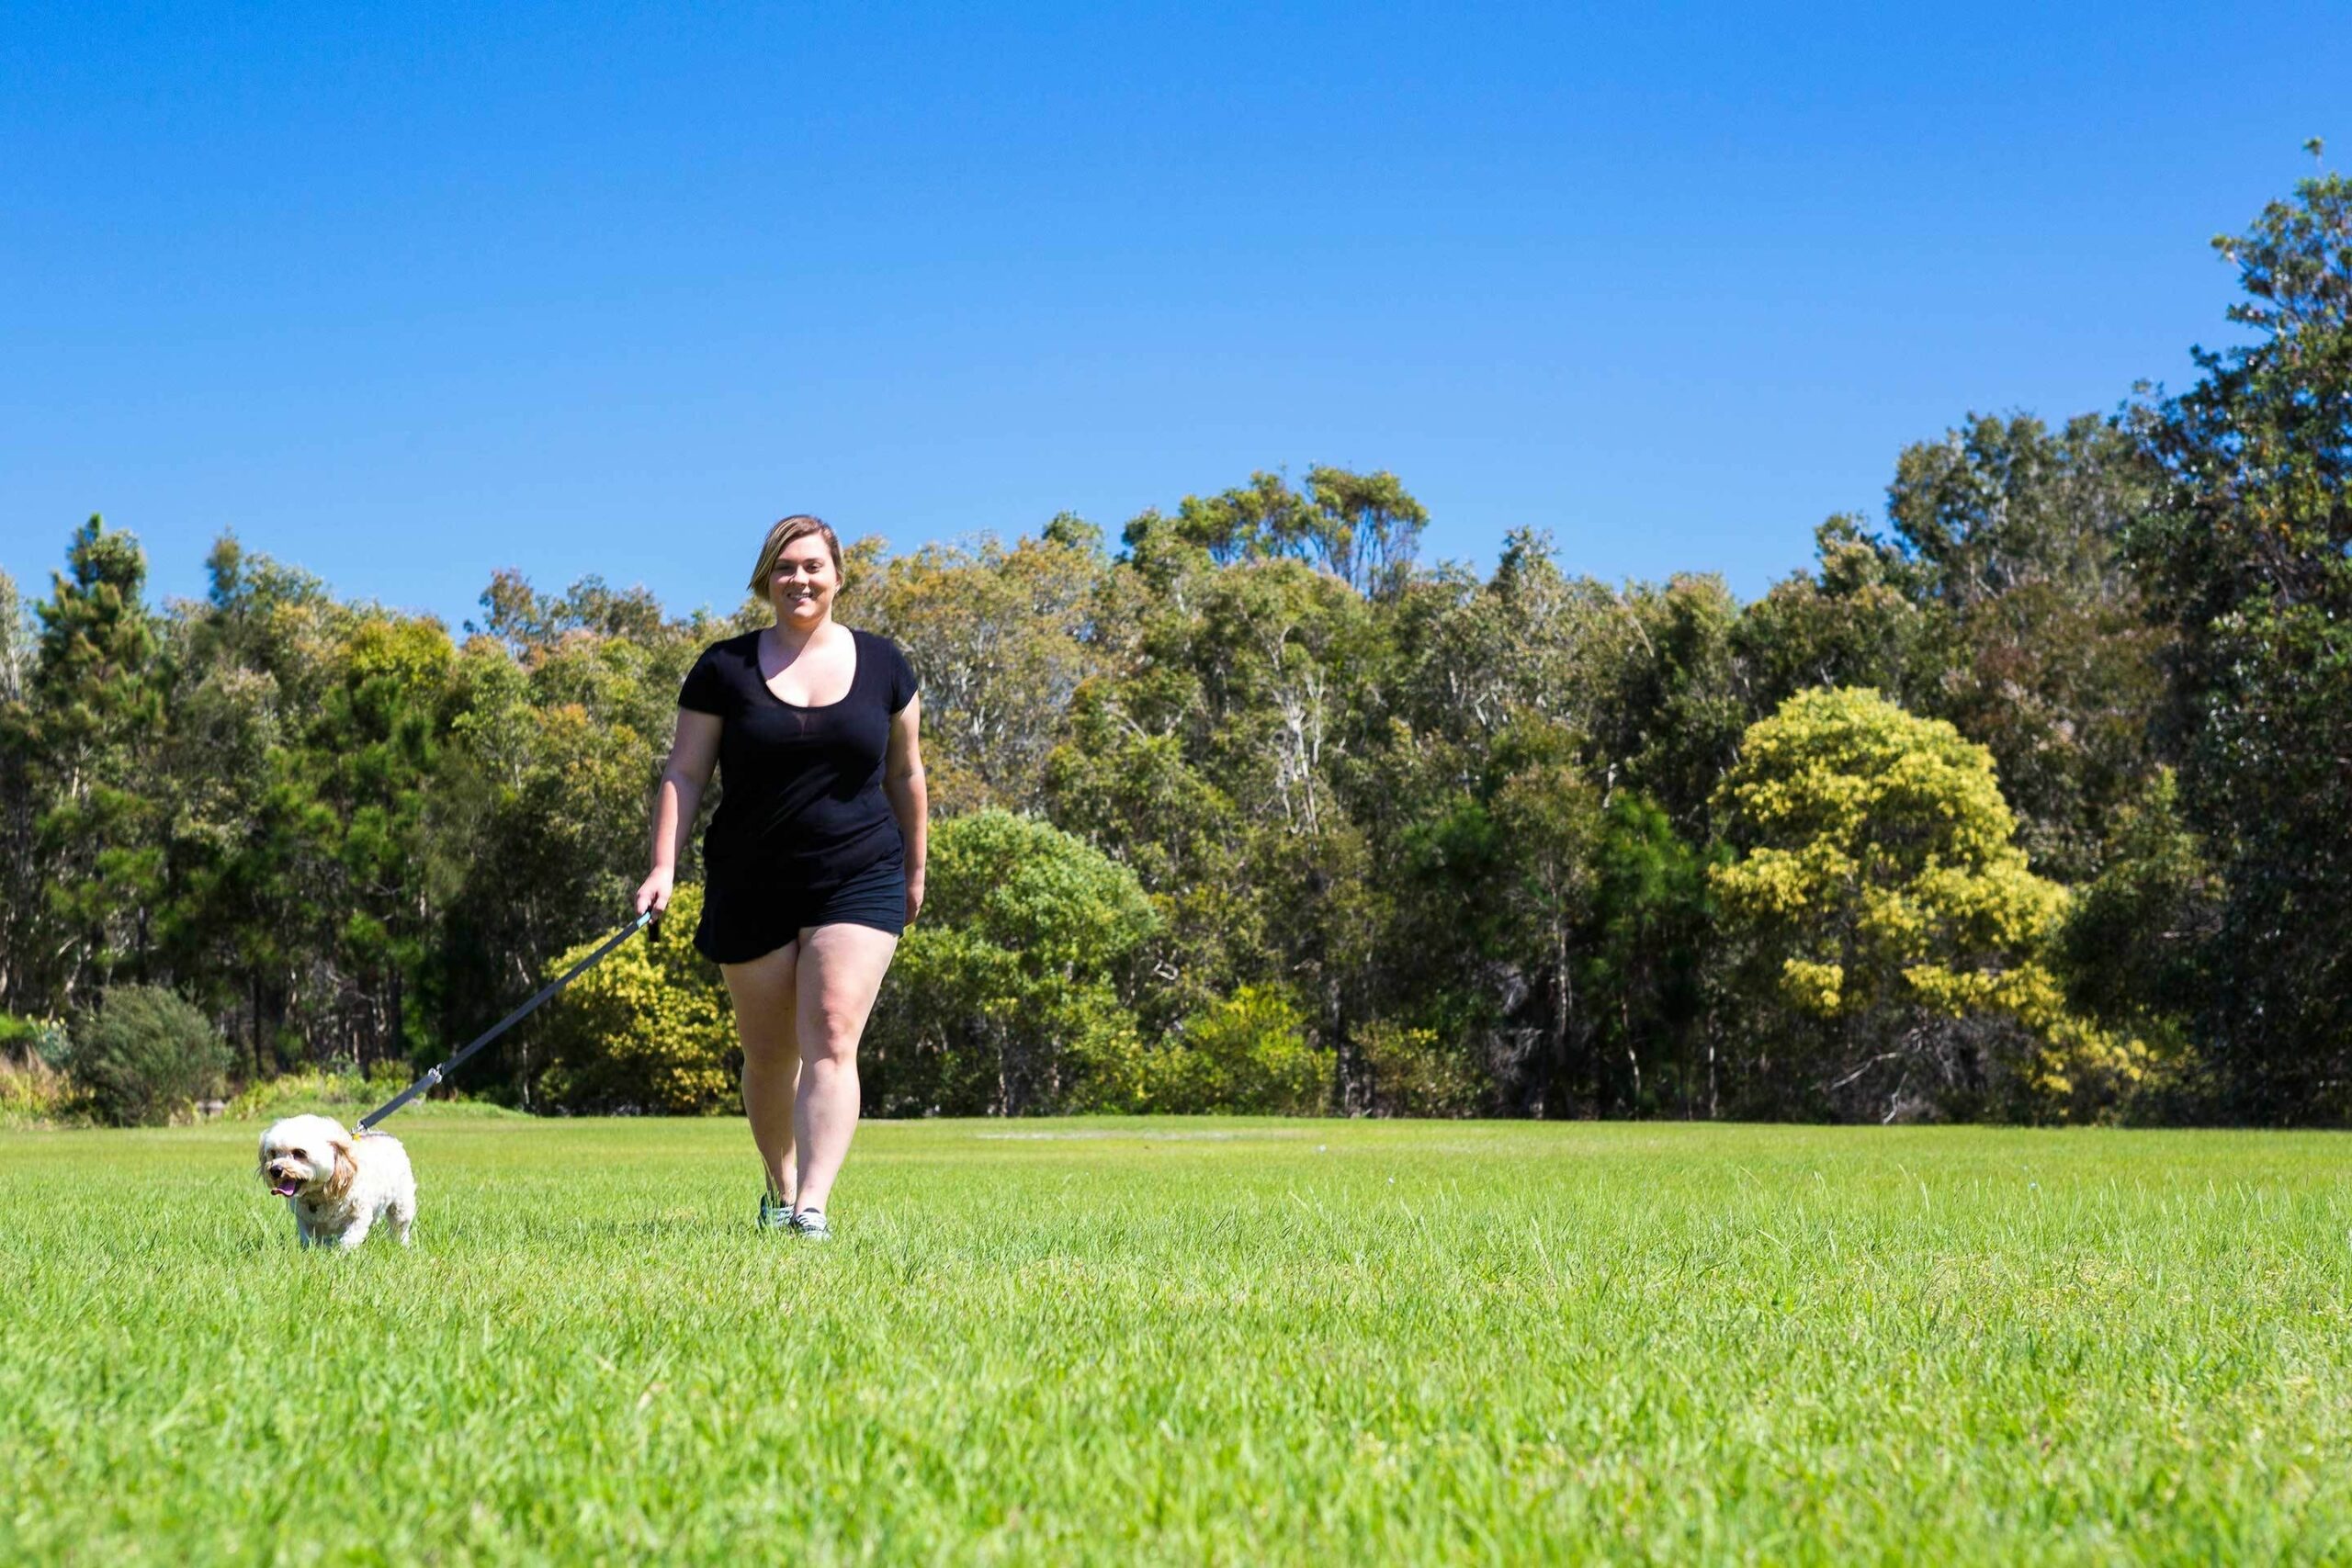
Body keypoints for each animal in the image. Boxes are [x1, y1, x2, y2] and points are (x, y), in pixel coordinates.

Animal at [261, 1114, 418, 1250]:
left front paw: (340, 1255)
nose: (275, 1169)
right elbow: (309, 1239)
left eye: (299, 1153)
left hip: (401, 1204)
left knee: (400, 1226)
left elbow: (349, 1240)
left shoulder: (359, 1216)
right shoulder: (304, 1220)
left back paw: (402, 1245)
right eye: (273, 1153)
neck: (320, 1196)